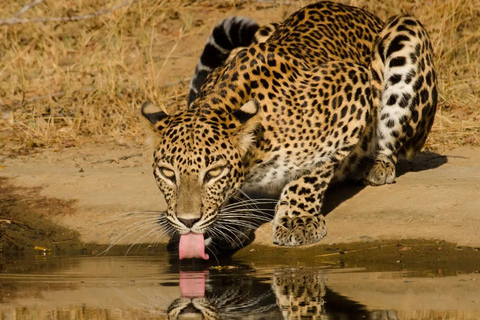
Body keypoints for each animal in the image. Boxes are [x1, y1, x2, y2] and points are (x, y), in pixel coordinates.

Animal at [140, 0, 438, 256]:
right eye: (167, 173)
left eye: (213, 173)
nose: (187, 221)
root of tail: (363, 13)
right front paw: (230, 223)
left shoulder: (353, 86)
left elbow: (311, 173)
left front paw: (297, 220)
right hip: (264, 30)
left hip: (406, 32)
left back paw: (376, 166)